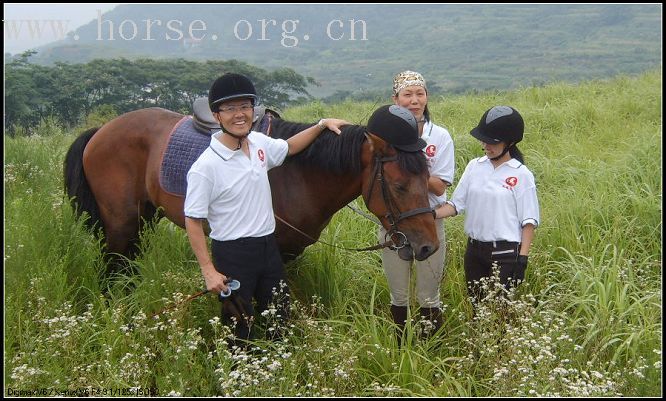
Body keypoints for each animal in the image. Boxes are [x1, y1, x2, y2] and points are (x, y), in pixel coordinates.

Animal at [62, 106, 436, 268]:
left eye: (427, 179)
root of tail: (100, 131)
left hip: (143, 219)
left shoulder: (292, 252)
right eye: (400, 186)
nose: (429, 247)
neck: (299, 173)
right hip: (120, 224)